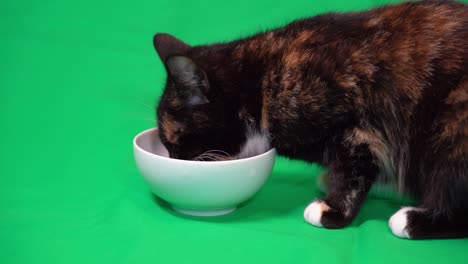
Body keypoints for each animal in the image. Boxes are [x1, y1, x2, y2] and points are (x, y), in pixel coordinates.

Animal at [154, 0, 468, 239]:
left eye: (175, 140)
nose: (173, 159)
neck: (263, 80)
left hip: (451, 125)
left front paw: (332, 211)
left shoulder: (356, 129)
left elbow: (353, 174)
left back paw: (412, 220)